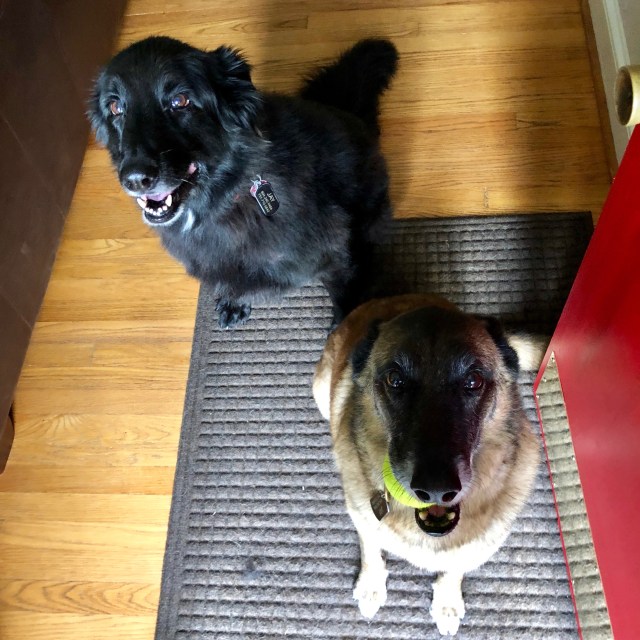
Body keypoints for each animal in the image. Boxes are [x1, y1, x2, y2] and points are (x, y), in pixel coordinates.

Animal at [89, 37, 398, 328]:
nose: (135, 179)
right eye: (115, 106)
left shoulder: (333, 249)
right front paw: (234, 303)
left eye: (180, 101)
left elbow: (342, 290)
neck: (224, 201)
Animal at [313, 294, 543, 636]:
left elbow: (454, 566)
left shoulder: (475, 545)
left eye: (473, 381)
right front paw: (371, 586)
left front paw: (446, 601)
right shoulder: (362, 518)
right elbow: (371, 551)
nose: (436, 489)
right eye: (395, 380)